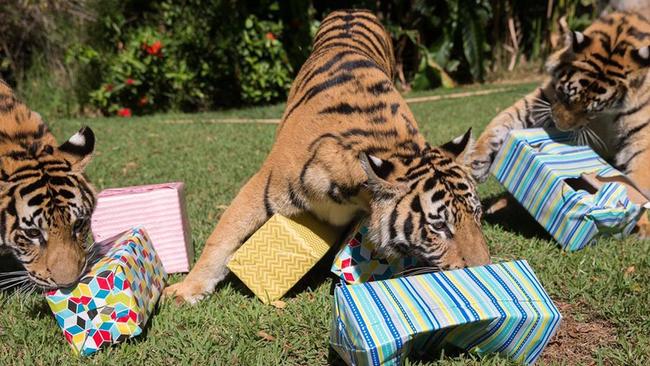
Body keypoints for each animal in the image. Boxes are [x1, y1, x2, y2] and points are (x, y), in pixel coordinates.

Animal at [165, 10, 488, 304]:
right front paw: (186, 290)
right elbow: (222, 238)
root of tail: (352, 10)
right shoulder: (260, 188)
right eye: (439, 227)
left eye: (477, 214)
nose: (484, 269)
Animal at [468, 11, 644, 237]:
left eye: (591, 110)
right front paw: (477, 160)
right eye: (565, 95)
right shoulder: (544, 98)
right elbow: (506, 118)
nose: (560, 127)